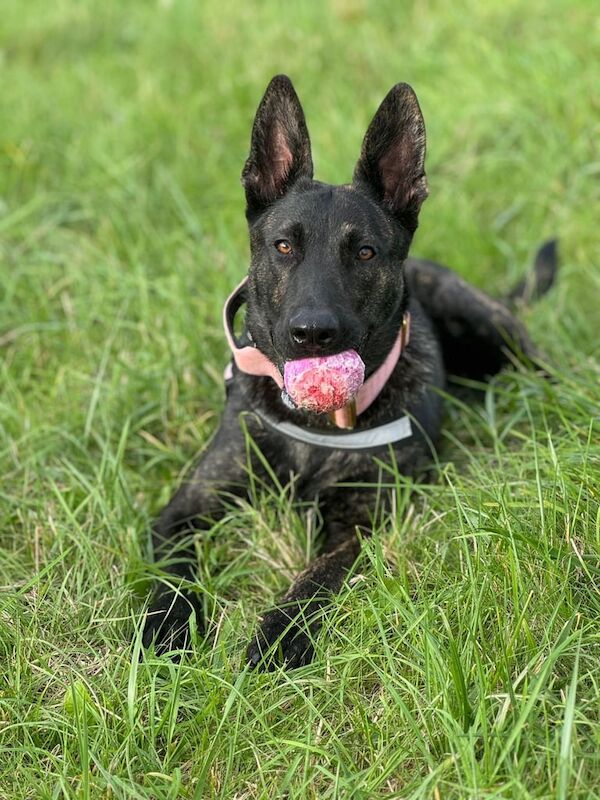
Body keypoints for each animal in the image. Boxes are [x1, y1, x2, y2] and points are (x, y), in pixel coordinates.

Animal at [141, 73, 556, 668]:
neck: (314, 430)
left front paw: (278, 639)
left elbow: (313, 580)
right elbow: (175, 574)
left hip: (487, 326)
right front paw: (167, 629)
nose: (313, 333)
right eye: (283, 246)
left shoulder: (359, 525)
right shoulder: (188, 506)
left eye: (364, 252)